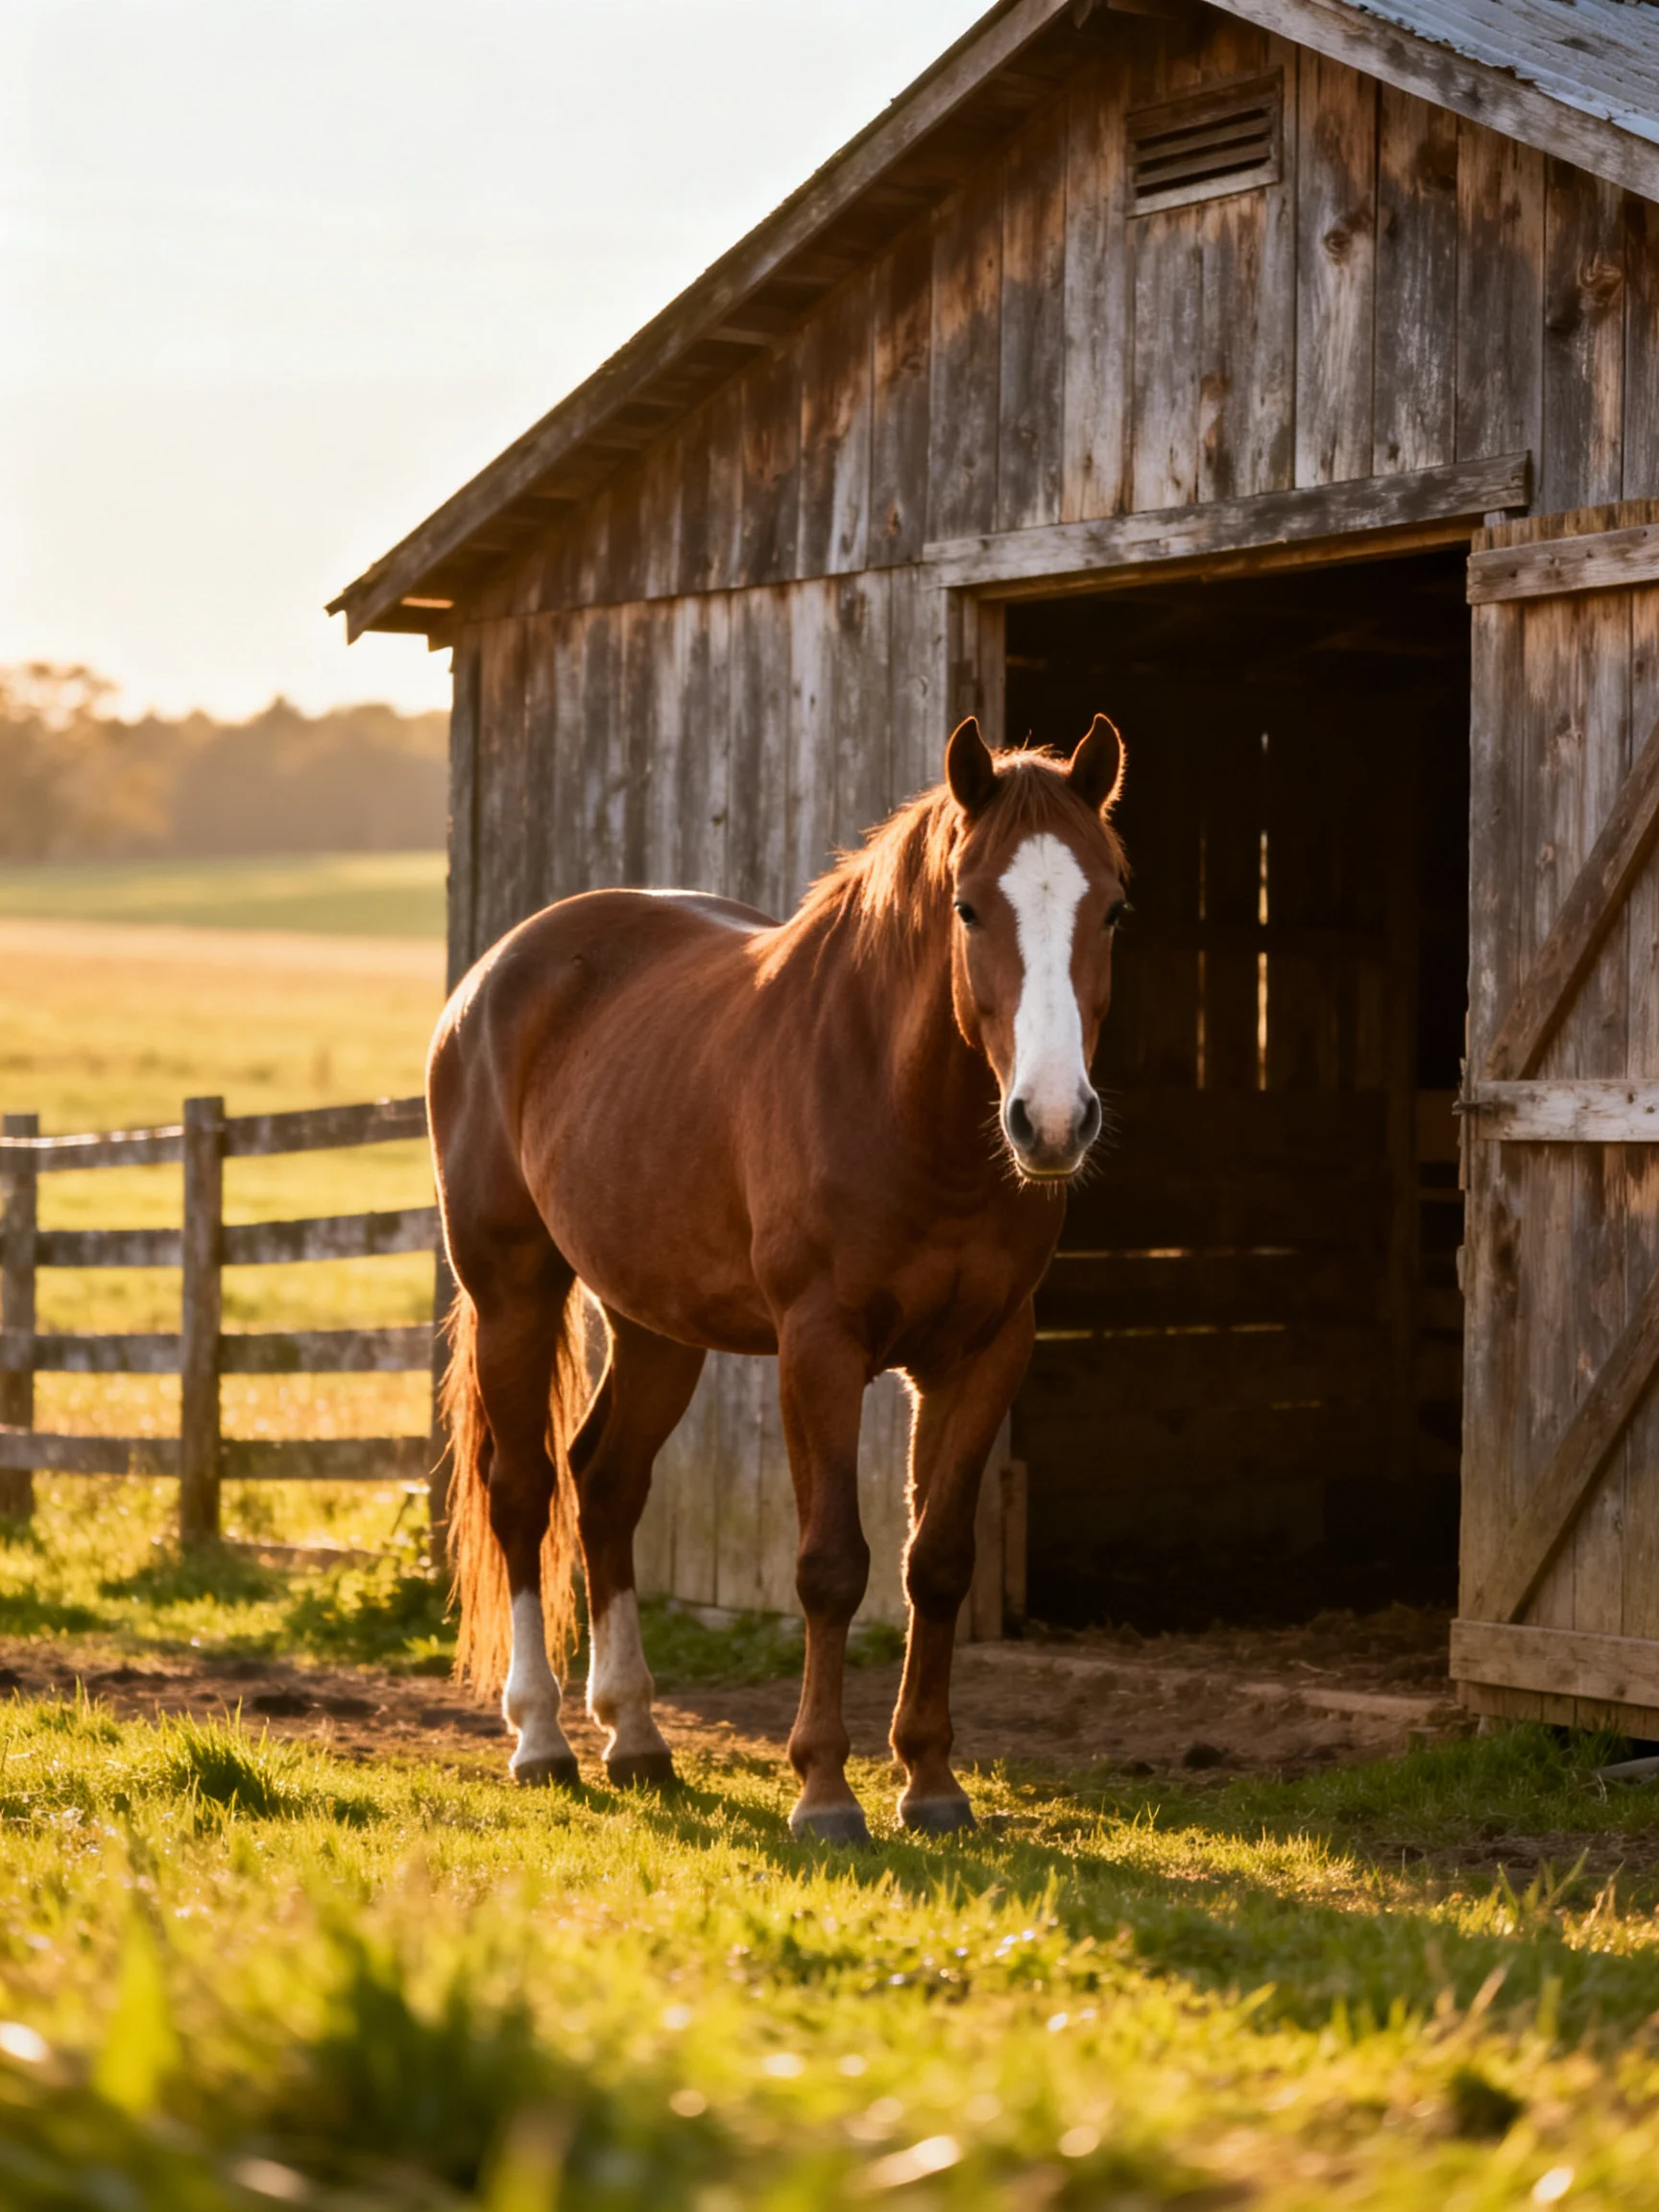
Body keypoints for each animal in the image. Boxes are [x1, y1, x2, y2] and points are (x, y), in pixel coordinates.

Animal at [428, 711, 1128, 1842]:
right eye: (968, 906)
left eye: (1112, 906)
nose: (1054, 1122)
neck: (903, 1107)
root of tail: (495, 972)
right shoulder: (820, 1347)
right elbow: (831, 1566)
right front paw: (824, 1792)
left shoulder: (985, 1353)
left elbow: (936, 1563)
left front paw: (930, 1783)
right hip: (512, 1294)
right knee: (524, 1489)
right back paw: (540, 1740)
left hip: (657, 1325)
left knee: (606, 1483)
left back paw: (636, 1736)